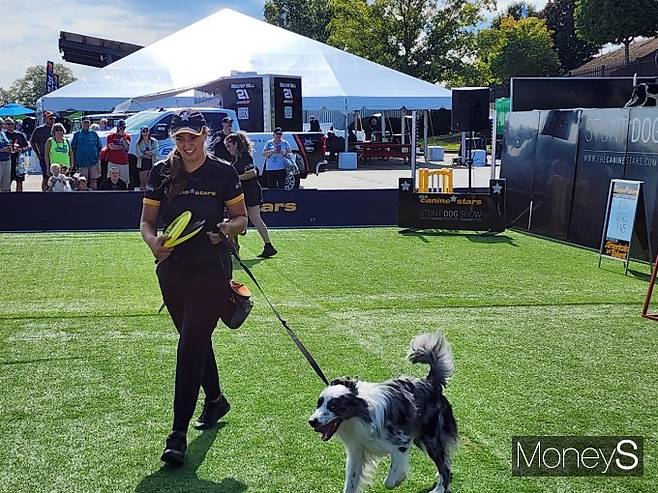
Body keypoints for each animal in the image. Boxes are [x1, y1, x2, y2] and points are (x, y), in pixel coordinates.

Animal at [308, 332, 456, 490]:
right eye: (319, 404)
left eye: (334, 406)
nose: (312, 421)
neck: (360, 416)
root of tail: (430, 382)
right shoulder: (357, 451)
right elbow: (350, 483)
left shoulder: (402, 443)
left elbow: (389, 481)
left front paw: (400, 478)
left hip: (430, 438)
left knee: (445, 467)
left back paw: (439, 489)